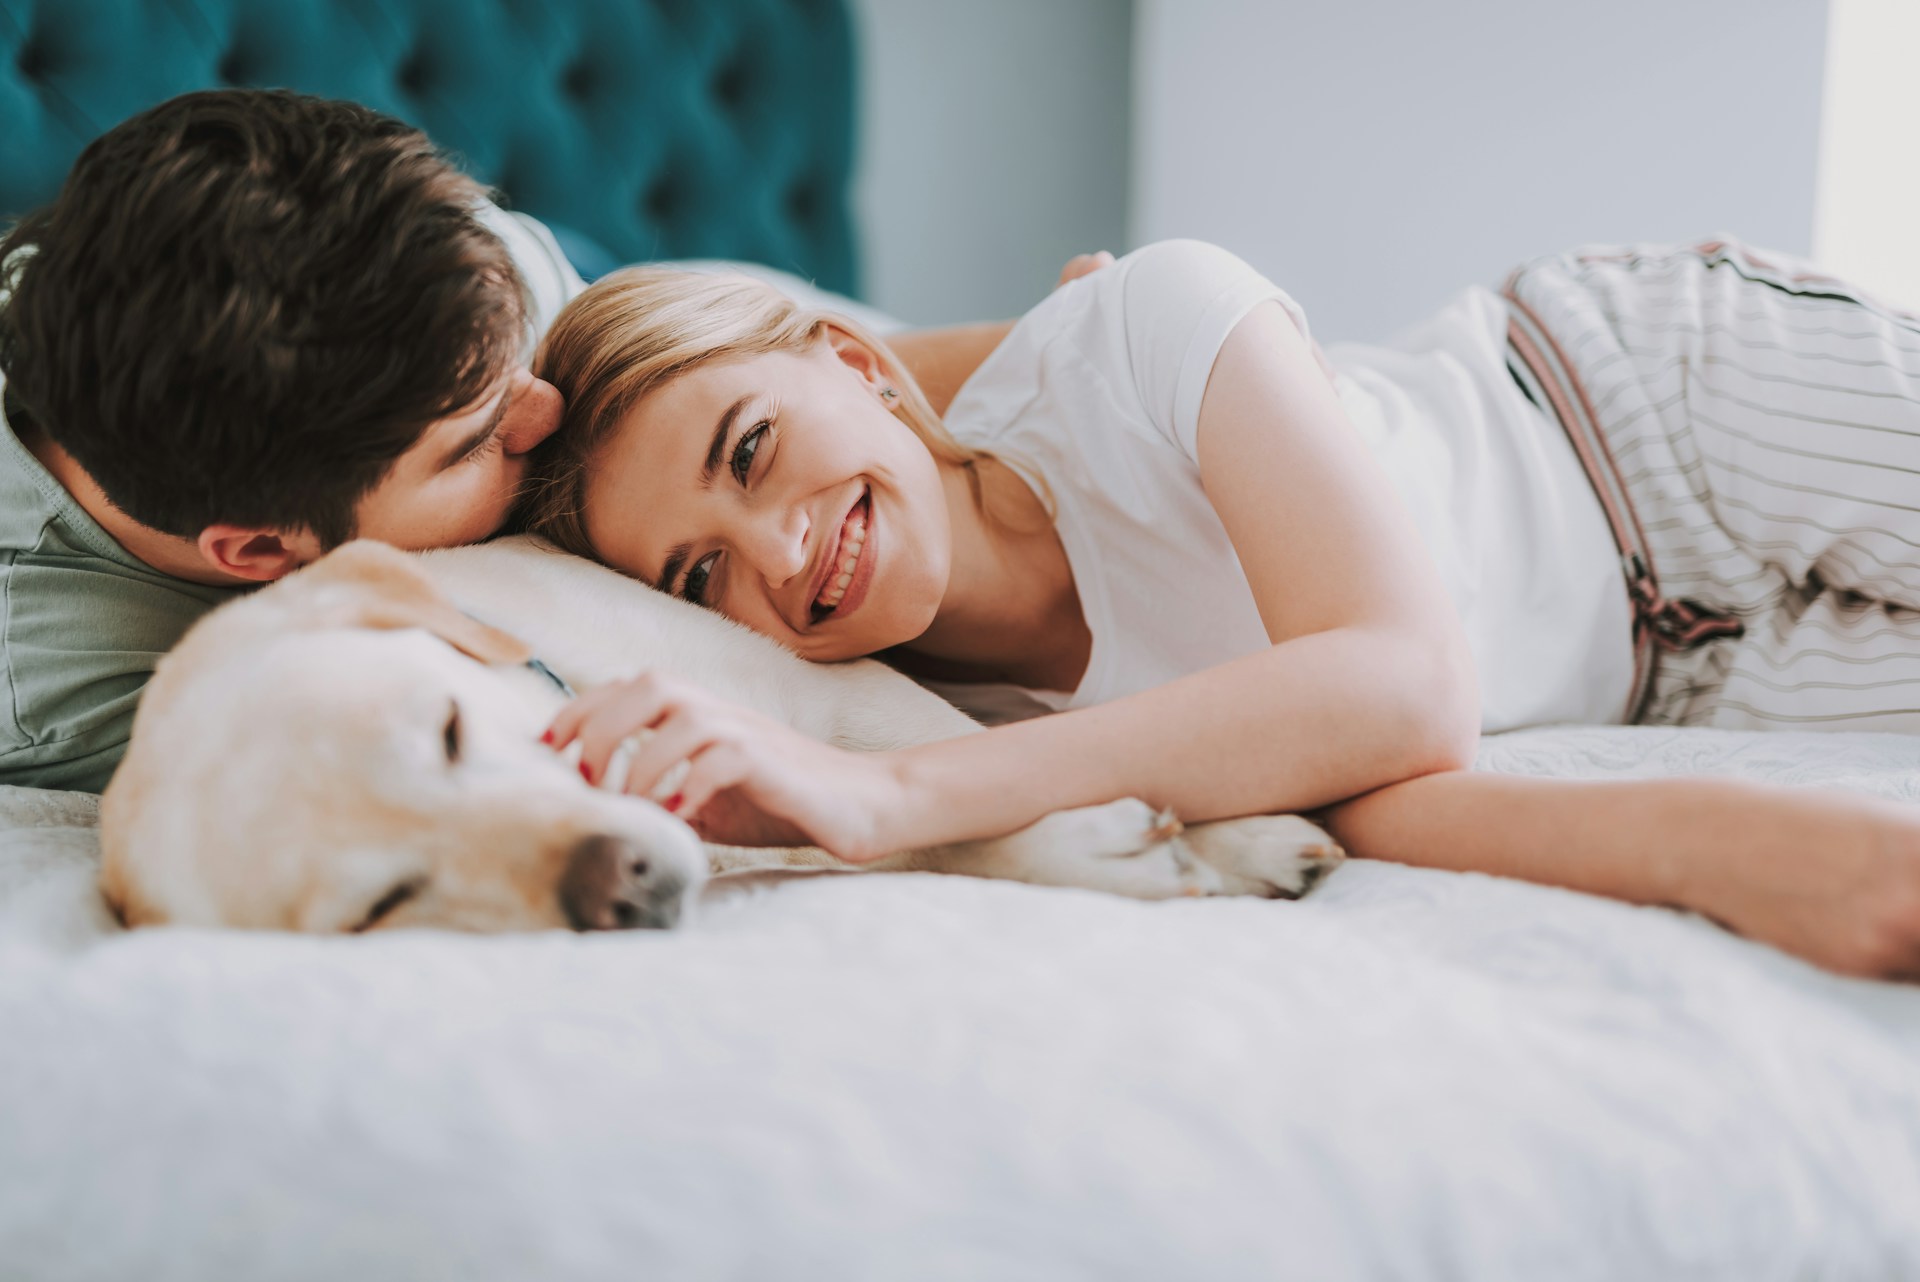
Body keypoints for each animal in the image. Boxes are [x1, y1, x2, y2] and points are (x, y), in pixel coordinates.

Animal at [97, 537, 1344, 936]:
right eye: (381, 906)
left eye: (445, 728)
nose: (619, 879)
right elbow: (933, 820)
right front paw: (1112, 849)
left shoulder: (837, 690)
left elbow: (946, 768)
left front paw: (1236, 839)